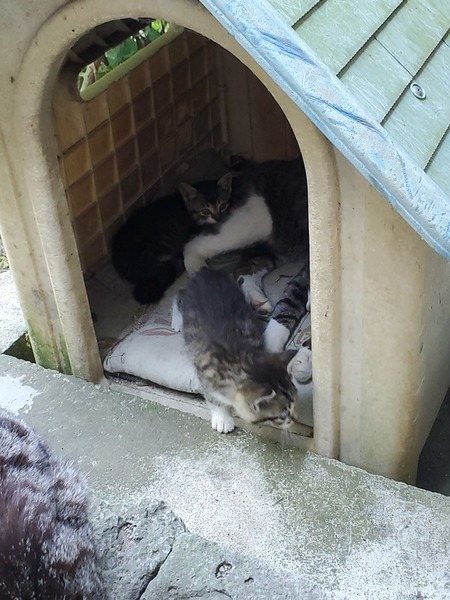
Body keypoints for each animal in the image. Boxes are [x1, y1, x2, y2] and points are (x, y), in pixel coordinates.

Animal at [171, 268, 299, 434]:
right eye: (283, 416)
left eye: (295, 401)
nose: (296, 419)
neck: (239, 359)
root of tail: (206, 272)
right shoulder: (205, 372)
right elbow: (213, 397)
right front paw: (222, 418)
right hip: (188, 301)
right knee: (179, 295)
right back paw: (176, 320)